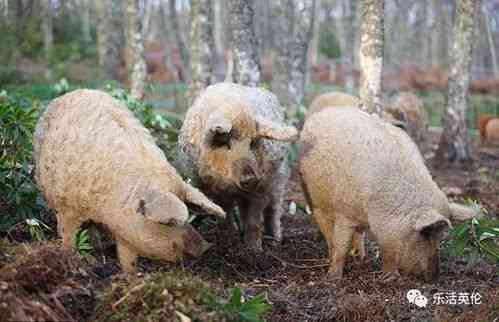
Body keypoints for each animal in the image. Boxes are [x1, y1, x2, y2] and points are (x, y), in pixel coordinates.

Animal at [33, 88, 225, 272]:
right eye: (168, 223)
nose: (206, 247)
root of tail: (76, 91)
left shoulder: (126, 229)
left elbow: (128, 259)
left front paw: (130, 275)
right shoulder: (67, 207)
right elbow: (67, 237)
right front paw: (69, 258)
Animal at [179, 82, 298, 250]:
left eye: (252, 143)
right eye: (226, 144)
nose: (250, 177)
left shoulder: (261, 187)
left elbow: (254, 220)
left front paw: (254, 250)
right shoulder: (212, 189)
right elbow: (225, 214)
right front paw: (230, 240)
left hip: (279, 177)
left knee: (274, 208)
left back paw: (275, 241)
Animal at [298, 107, 482, 280]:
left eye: (440, 237)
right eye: (426, 233)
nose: (434, 278)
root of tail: (323, 112)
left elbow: (387, 252)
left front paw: (389, 276)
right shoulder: (345, 212)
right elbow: (341, 245)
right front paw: (333, 278)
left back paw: (361, 258)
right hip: (312, 196)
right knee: (326, 228)